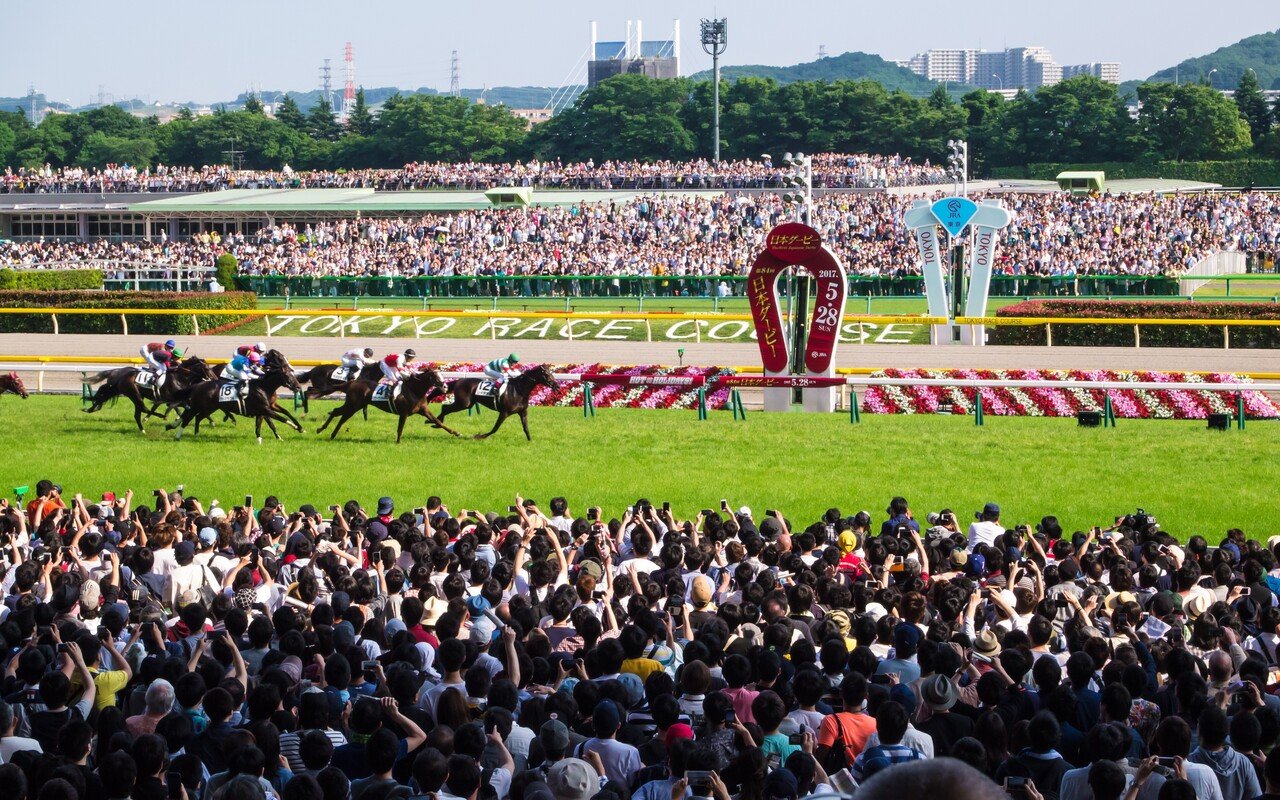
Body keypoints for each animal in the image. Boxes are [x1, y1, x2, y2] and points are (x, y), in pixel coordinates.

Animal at [81, 353, 215, 430]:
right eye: (207, 368)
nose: (214, 379)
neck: (179, 377)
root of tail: (120, 376)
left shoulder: (178, 399)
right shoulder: (172, 399)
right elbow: (183, 407)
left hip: (135, 395)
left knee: (137, 413)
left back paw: (143, 430)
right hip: (135, 394)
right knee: (143, 409)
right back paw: (159, 416)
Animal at [166, 348, 305, 442]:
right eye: (281, 358)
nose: (298, 387)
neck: (263, 387)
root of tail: (198, 385)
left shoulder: (267, 407)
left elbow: (280, 416)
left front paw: (292, 431)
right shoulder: (265, 409)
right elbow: (280, 419)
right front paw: (295, 427)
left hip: (209, 408)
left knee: (197, 417)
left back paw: (195, 434)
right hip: (199, 406)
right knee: (188, 417)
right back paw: (177, 434)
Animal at [314, 368, 460, 442]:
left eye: (442, 376)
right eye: (435, 377)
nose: (445, 387)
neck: (414, 390)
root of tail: (351, 383)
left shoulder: (423, 410)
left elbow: (438, 422)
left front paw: (456, 432)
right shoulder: (404, 413)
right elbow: (400, 428)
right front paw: (398, 442)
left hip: (355, 405)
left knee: (336, 412)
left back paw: (327, 432)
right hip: (353, 405)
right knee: (341, 417)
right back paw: (325, 431)